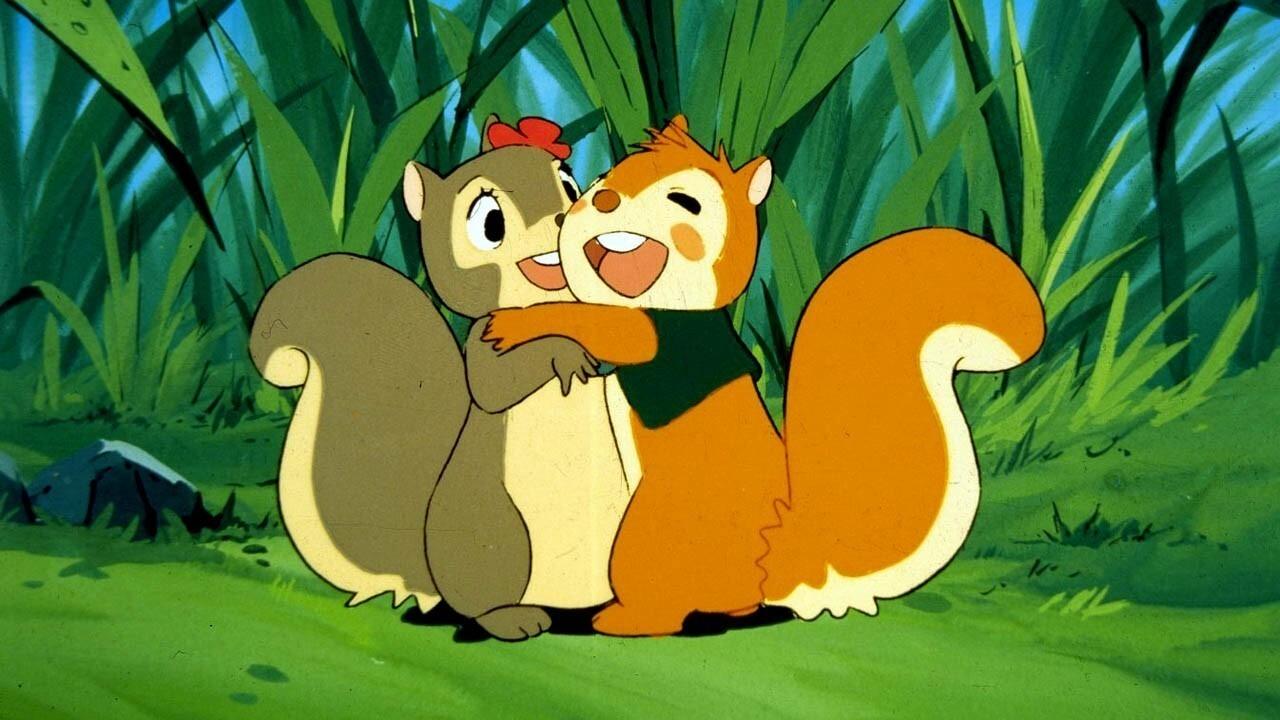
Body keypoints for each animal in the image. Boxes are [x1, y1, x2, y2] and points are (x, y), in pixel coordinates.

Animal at [250, 116, 633, 641]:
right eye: (490, 223)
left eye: (571, 187)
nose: (563, 219)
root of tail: (430, 579)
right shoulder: (484, 349)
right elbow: (497, 384)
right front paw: (565, 351)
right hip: (495, 530)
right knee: (482, 599)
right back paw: (512, 618)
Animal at [483, 115, 1047, 636]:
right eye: (600, 181)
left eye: (685, 202)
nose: (601, 201)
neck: (672, 302)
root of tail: (785, 560)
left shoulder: (666, 337)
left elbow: (602, 325)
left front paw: (520, 322)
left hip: (646, 540)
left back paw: (627, 619)